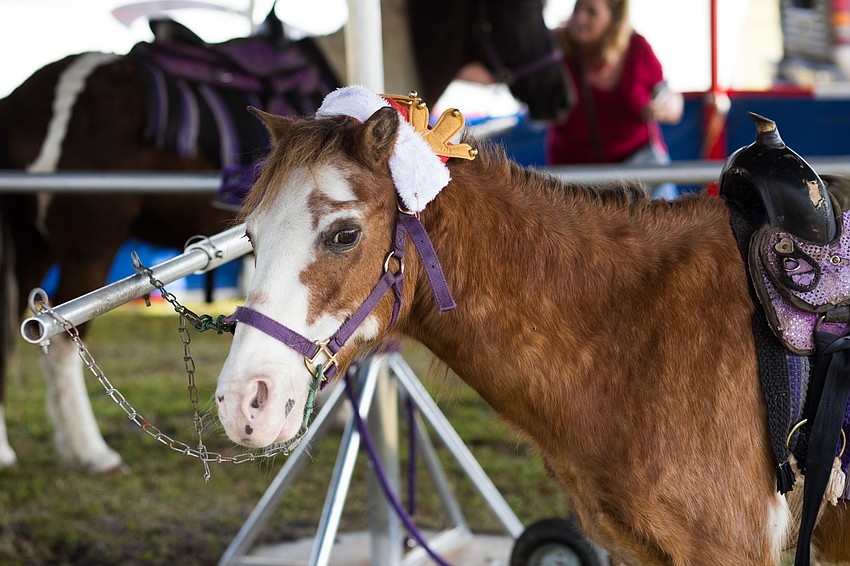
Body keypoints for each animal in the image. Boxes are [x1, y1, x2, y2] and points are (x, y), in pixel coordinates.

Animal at [0, 0, 571, 472]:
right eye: (526, 10)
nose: (560, 96)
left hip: (30, 248)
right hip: (87, 246)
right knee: (64, 343)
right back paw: (90, 450)